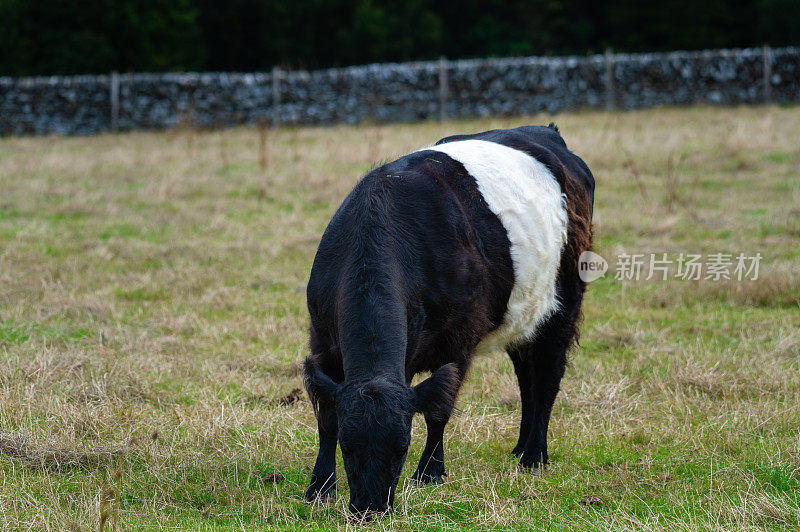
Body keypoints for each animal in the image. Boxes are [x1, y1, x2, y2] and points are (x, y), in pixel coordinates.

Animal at [304, 123, 592, 516]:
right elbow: (327, 419)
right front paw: (320, 486)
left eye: (402, 447)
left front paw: (430, 473)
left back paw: (534, 457)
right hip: (522, 314)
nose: (371, 508)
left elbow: (438, 411)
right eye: (348, 448)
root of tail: (544, 132)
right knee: (526, 377)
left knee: (547, 377)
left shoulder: (459, 342)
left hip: (563, 306)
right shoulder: (322, 342)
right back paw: (519, 447)